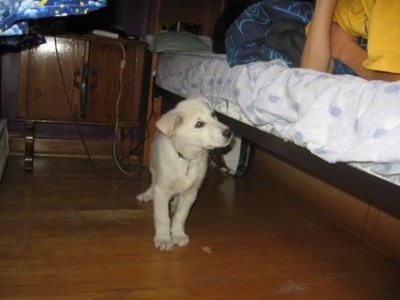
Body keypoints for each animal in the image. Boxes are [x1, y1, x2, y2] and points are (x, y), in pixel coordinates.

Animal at [137, 95, 233, 251]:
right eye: (199, 124)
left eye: (213, 115)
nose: (229, 132)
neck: (186, 158)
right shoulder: (162, 190)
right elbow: (162, 217)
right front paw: (164, 238)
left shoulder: (191, 192)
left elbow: (181, 215)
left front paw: (178, 234)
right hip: (153, 168)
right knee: (153, 181)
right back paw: (147, 194)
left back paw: (175, 203)